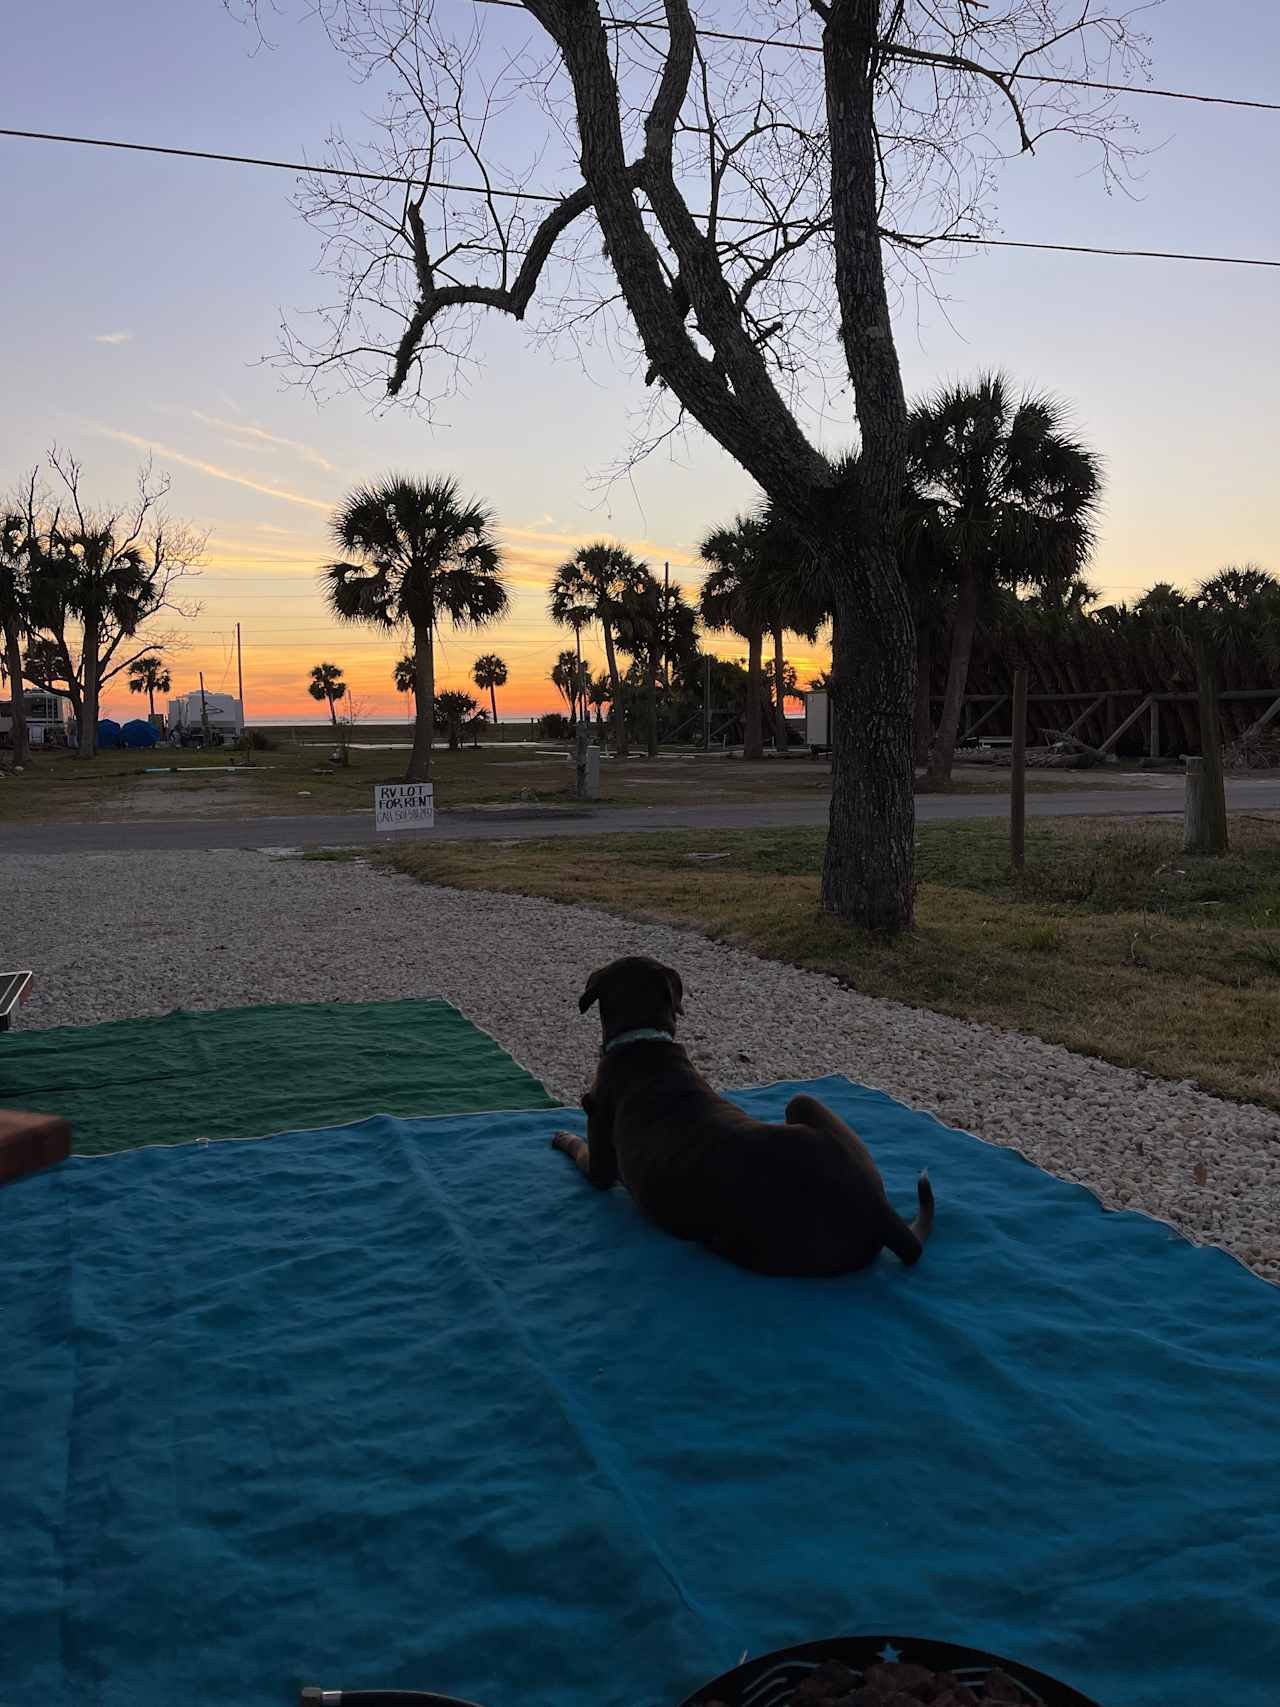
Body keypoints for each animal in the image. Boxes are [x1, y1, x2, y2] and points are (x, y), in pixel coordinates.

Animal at [549, 955, 935, 1276]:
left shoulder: (599, 1165)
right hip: (804, 1102)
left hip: (739, 1239)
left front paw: (563, 1137)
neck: (643, 1040)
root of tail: (881, 1212)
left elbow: (581, 1150)